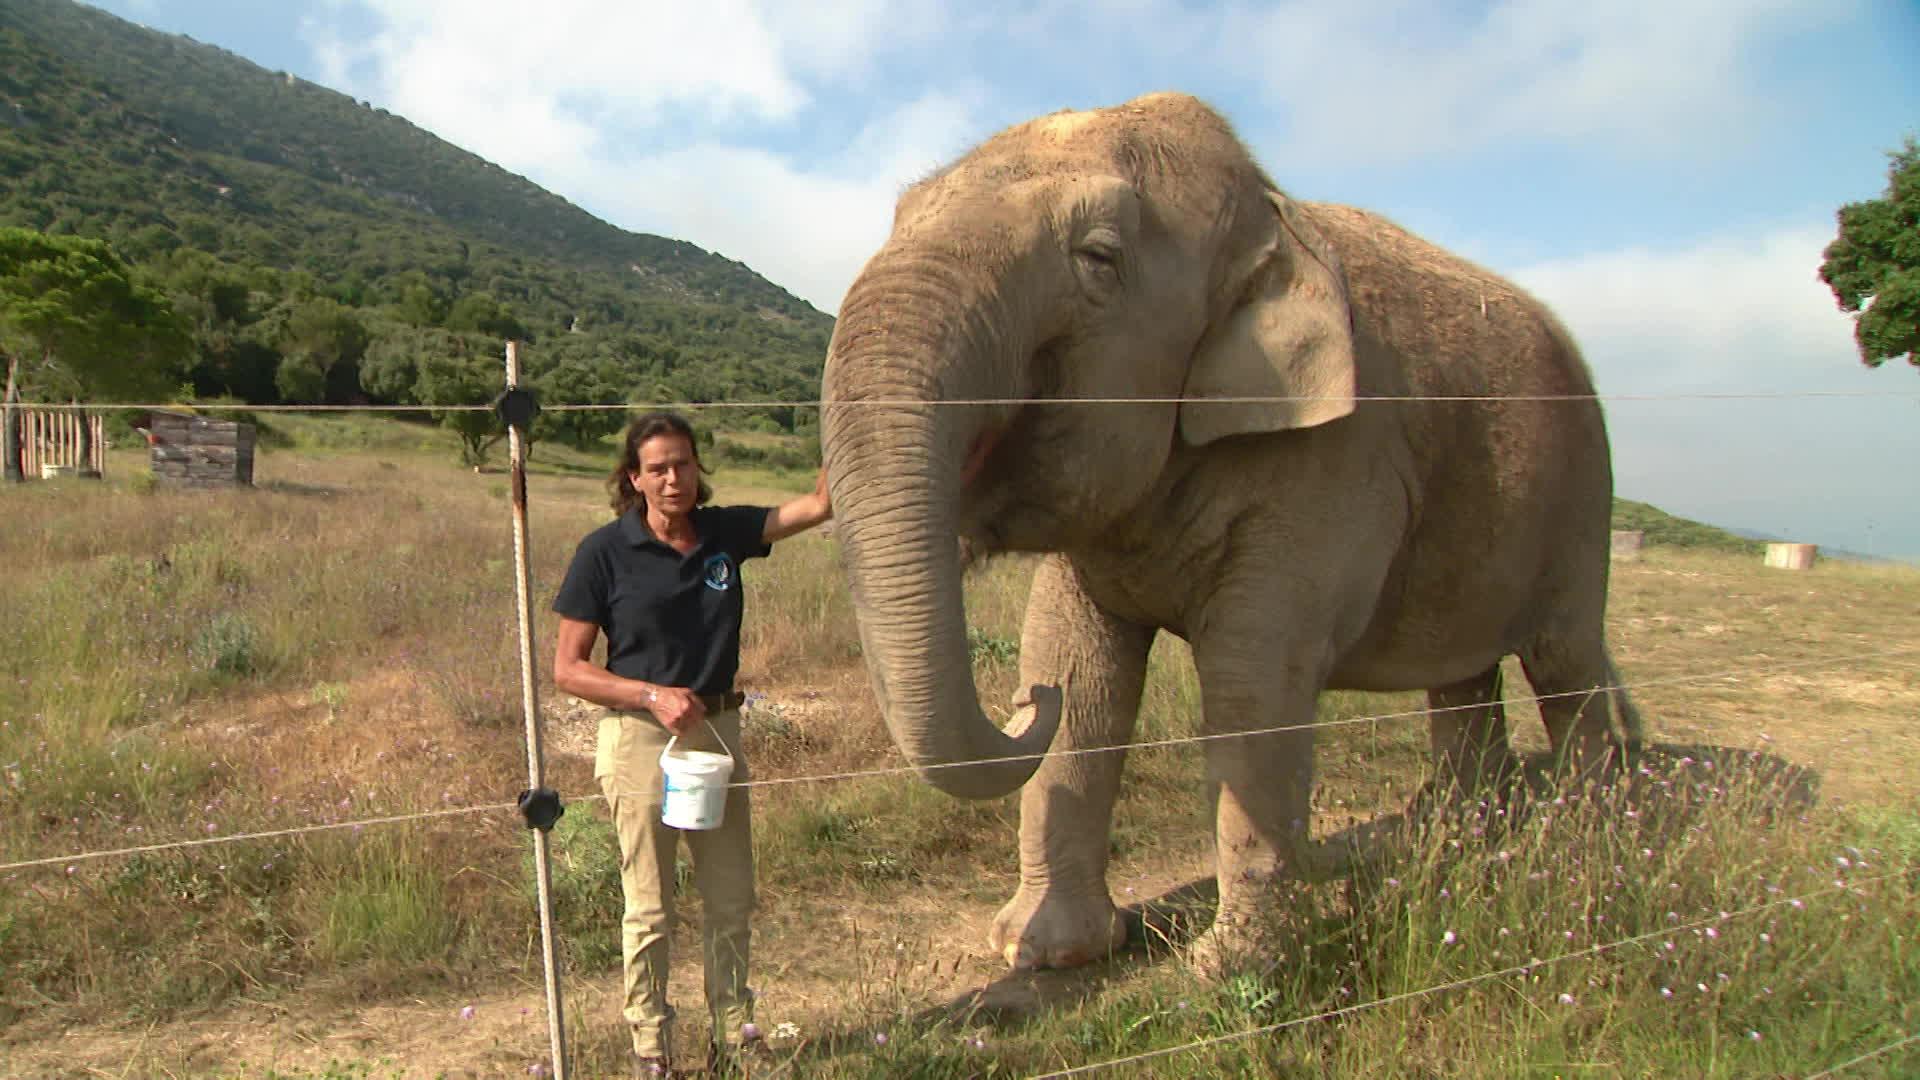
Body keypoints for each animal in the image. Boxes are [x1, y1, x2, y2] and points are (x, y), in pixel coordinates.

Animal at [817, 90, 1643, 968]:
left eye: (1099, 257)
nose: (1024, 703)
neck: (1274, 217)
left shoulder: (1337, 455)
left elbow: (1255, 672)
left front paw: (1227, 970)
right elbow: (1078, 657)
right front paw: (1039, 951)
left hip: (1586, 494)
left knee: (1563, 665)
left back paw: (1586, 842)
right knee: (1463, 677)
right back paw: (1454, 837)